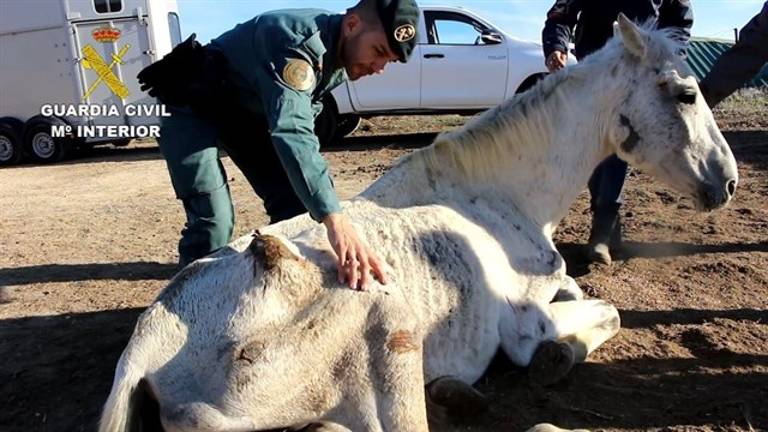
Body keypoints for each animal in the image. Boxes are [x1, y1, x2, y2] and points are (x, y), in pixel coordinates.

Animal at [99, 14, 736, 432]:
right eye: (685, 93)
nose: (726, 182)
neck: (496, 199)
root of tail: (152, 341)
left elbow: (583, 292)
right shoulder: (524, 326)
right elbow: (603, 314)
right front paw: (557, 357)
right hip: (392, 335)